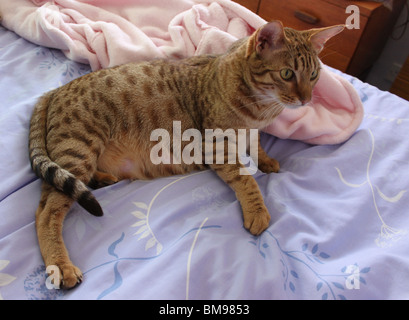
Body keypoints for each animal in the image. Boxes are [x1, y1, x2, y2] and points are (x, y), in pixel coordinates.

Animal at [27, 21, 342, 288]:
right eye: (287, 73)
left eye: (314, 75)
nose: (306, 99)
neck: (260, 109)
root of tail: (54, 91)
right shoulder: (217, 146)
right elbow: (246, 179)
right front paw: (257, 210)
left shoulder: (251, 133)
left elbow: (257, 145)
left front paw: (266, 160)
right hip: (78, 150)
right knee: (45, 212)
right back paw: (61, 265)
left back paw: (103, 178)